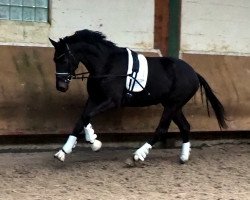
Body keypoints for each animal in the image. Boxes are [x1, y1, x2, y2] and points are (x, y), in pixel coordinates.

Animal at [49, 29, 227, 163]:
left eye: (63, 59)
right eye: (54, 60)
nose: (61, 87)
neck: (106, 65)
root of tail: (194, 73)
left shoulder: (111, 101)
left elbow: (86, 117)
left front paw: (94, 142)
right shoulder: (94, 98)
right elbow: (82, 119)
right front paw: (64, 151)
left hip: (172, 105)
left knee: (162, 129)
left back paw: (138, 155)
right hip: (173, 105)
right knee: (185, 126)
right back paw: (183, 157)